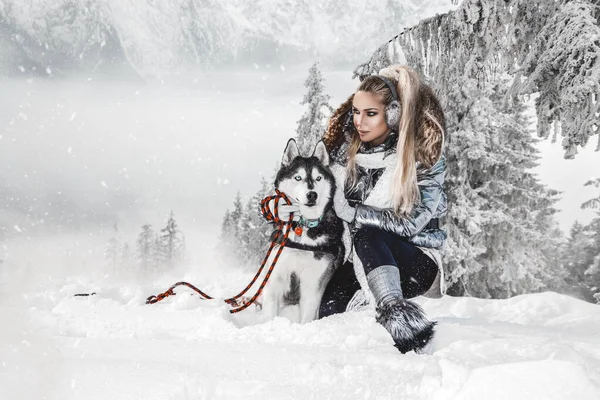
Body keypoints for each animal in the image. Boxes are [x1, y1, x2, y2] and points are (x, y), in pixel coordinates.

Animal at [260, 139, 344, 324]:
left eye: (318, 178)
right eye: (298, 177)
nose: (312, 194)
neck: (303, 228)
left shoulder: (313, 284)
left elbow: (307, 316)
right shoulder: (275, 278)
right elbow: (269, 314)